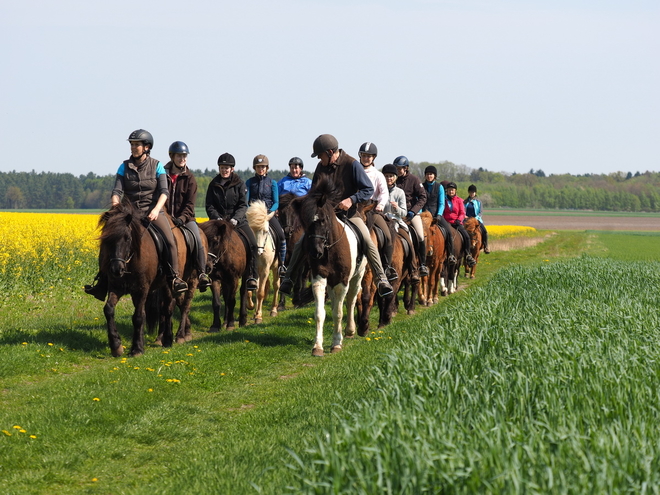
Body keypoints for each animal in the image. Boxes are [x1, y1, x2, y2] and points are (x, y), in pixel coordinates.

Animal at [94, 203, 178, 358]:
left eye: (127, 238)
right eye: (106, 239)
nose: (117, 269)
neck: (129, 262)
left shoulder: (142, 289)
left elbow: (138, 317)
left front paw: (137, 348)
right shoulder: (116, 288)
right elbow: (109, 310)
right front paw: (116, 346)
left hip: (167, 285)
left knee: (168, 309)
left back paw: (168, 339)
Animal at [292, 178, 368, 356]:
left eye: (323, 219)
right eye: (306, 222)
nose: (315, 252)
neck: (330, 249)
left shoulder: (342, 281)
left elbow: (338, 313)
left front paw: (336, 343)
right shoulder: (319, 278)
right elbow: (321, 313)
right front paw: (317, 346)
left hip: (357, 276)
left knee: (351, 299)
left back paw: (350, 330)